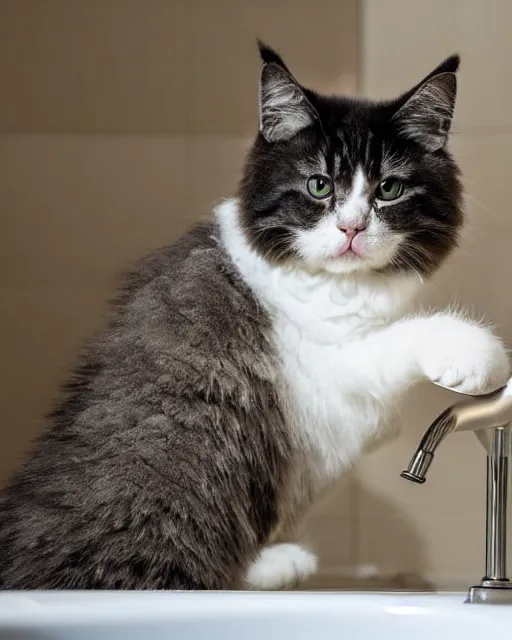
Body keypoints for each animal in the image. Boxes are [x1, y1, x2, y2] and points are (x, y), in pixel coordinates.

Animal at [0, 45, 508, 592]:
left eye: (388, 189)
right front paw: (479, 354)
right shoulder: (323, 370)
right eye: (318, 185)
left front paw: (273, 565)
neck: (345, 287)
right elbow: (398, 336)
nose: (351, 228)